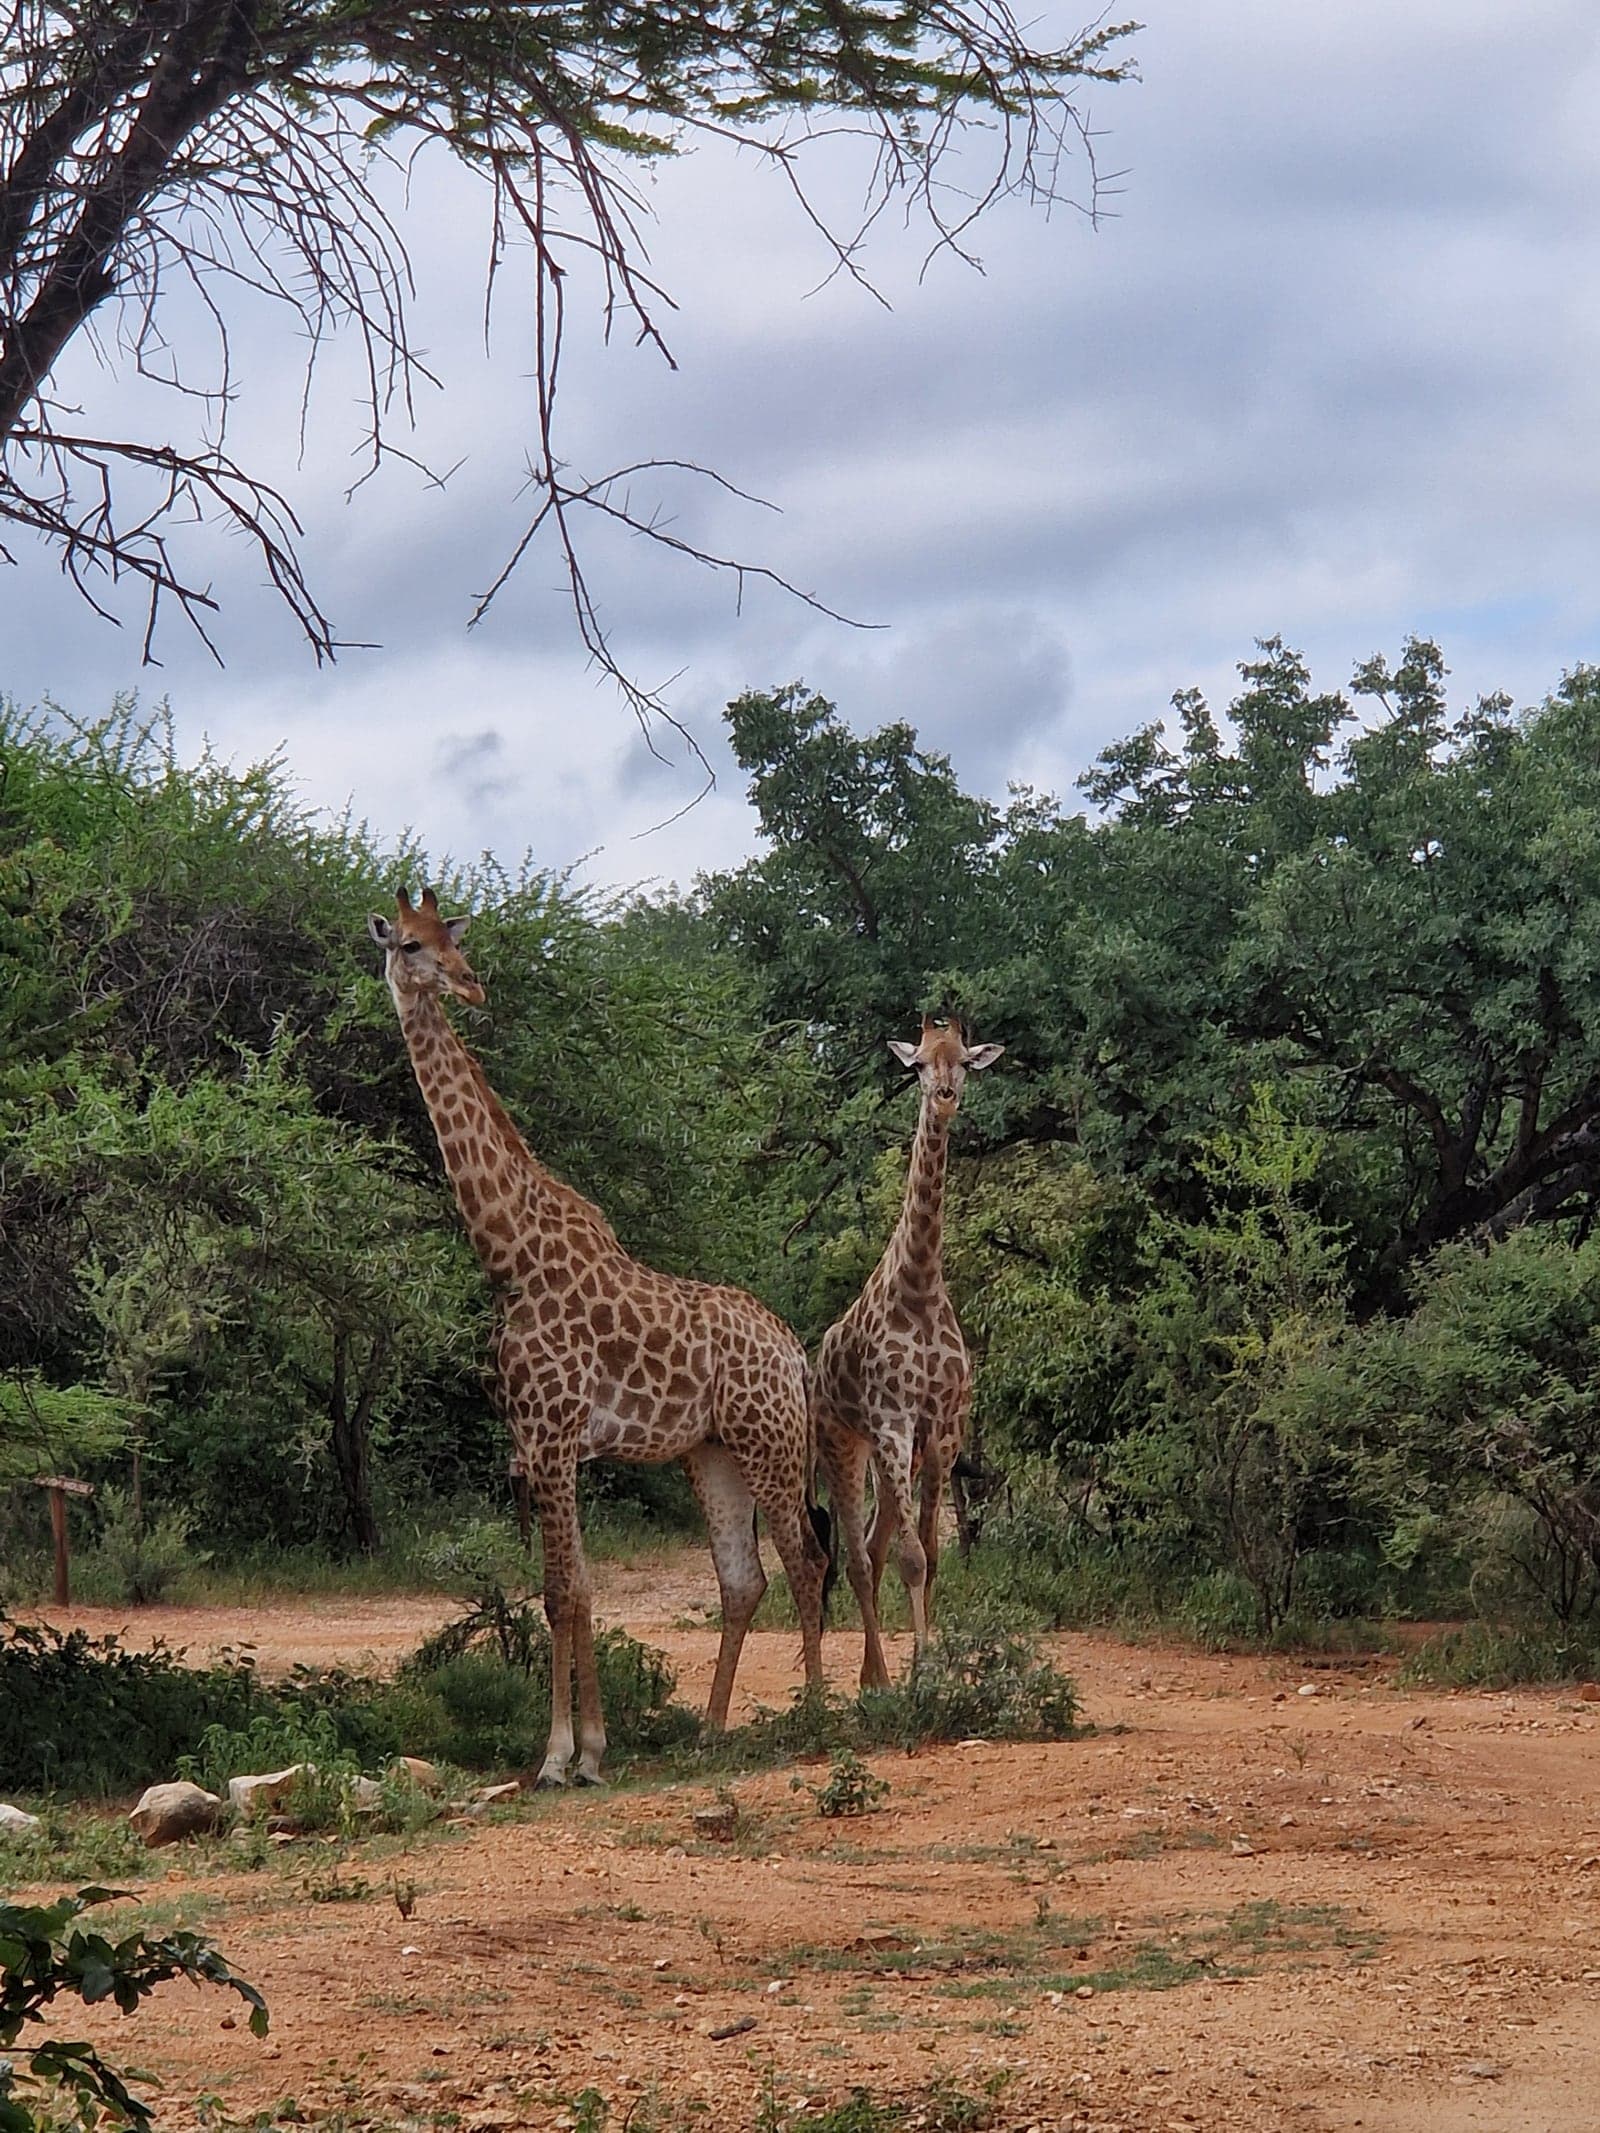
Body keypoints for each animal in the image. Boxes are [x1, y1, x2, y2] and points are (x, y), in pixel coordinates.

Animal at [368, 887, 827, 1784]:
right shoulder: (545, 1440)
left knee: (808, 1561)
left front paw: (556, 1757)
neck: (509, 1252)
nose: (470, 984)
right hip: (712, 1452)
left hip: (772, 1441)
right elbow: (579, 1587)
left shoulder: (550, 1435)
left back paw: (830, 1715)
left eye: (449, 938)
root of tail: (793, 1349)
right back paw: (710, 1729)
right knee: (744, 1578)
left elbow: (559, 1592)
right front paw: (592, 1751)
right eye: (408, 942)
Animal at [812, 1015, 1003, 1689]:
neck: (919, 1286)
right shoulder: (893, 1422)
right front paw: (920, 1680)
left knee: (872, 1544)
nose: (943, 1098)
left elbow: (933, 1552)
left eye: (965, 1062)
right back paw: (878, 1682)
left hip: (892, 1455)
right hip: (844, 1445)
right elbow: (912, 1558)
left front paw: (933, 1666)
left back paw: (873, 1677)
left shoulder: (942, 1430)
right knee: (857, 1558)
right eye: (917, 1063)